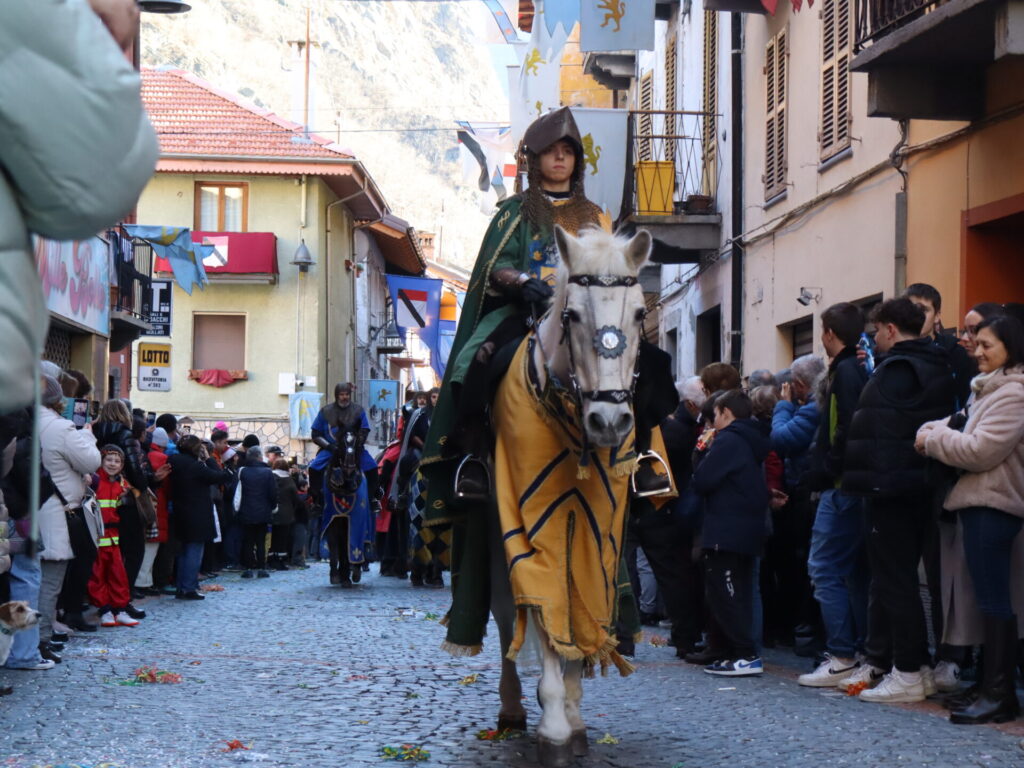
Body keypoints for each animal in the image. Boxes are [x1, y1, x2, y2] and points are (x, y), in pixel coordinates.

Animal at [485, 227, 647, 768]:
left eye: (641, 313)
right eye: (572, 315)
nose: (609, 422)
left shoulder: (600, 532)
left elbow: (583, 609)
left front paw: (573, 717)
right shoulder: (533, 522)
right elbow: (541, 601)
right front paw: (553, 725)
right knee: (503, 612)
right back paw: (513, 709)